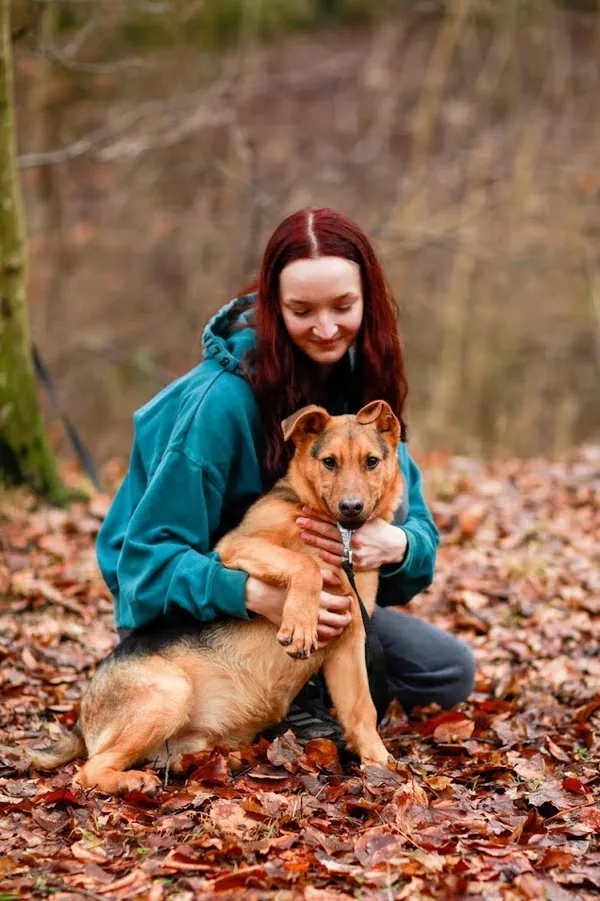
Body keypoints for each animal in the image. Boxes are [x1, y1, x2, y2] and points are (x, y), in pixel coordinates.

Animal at [24, 398, 404, 792]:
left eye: (371, 462)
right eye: (329, 462)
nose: (351, 507)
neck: (339, 534)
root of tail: (82, 718)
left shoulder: (350, 637)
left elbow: (362, 709)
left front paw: (382, 764)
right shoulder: (237, 546)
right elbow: (304, 565)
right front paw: (300, 621)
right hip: (170, 692)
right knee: (89, 770)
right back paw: (134, 781)